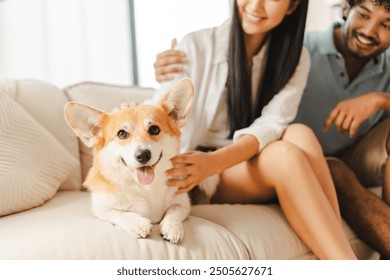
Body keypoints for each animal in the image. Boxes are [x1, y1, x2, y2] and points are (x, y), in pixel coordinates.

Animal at [64, 78, 216, 243]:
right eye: (122, 134)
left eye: (154, 129)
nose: (143, 155)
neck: (148, 188)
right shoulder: (102, 209)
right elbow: (119, 213)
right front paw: (138, 224)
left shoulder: (183, 205)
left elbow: (174, 211)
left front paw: (172, 228)